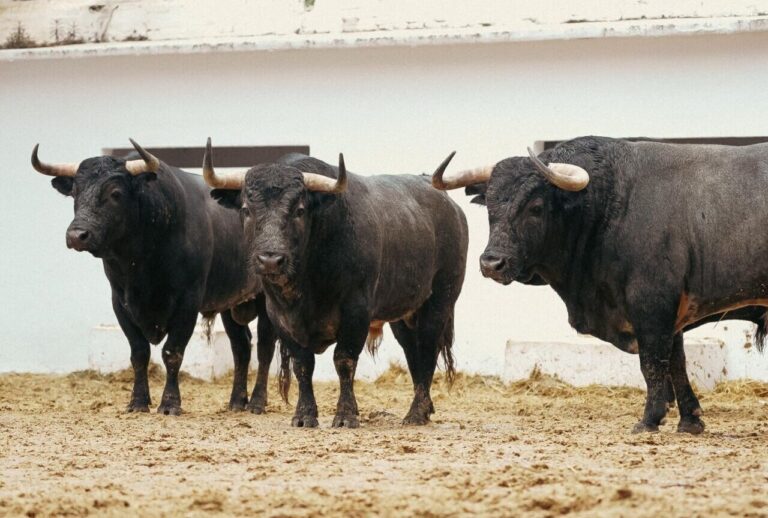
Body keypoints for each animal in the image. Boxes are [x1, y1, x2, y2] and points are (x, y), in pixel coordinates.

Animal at [31, 140, 284, 415]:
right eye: (75, 192)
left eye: (115, 193)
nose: (77, 235)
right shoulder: (120, 302)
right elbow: (139, 353)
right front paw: (138, 401)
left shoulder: (188, 302)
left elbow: (172, 352)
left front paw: (170, 403)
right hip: (232, 302)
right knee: (241, 347)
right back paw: (237, 402)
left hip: (265, 298)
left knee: (264, 347)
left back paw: (257, 402)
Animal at [201, 138, 468, 427]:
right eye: (246, 210)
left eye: (300, 210)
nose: (270, 260)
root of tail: (450, 205)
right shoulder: (279, 317)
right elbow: (302, 365)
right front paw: (304, 415)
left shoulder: (356, 311)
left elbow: (344, 360)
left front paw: (346, 415)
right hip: (403, 313)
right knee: (413, 352)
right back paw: (425, 407)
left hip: (440, 299)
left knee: (428, 347)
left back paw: (416, 413)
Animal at [432, 136, 768, 434]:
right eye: (490, 207)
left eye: (536, 207)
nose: (491, 263)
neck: (610, 205)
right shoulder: (671, 316)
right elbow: (675, 363)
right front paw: (690, 420)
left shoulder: (652, 306)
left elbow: (653, 365)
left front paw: (649, 420)